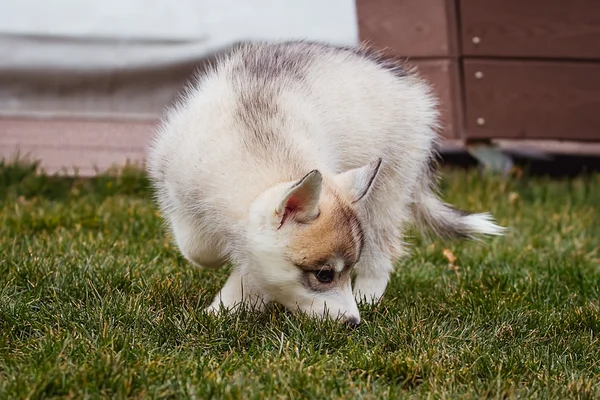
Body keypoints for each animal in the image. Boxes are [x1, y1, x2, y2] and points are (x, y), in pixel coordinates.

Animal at [146, 40, 506, 326]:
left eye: (338, 273)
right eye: (324, 275)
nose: (354, 323)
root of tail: (408, 86)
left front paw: (230, 302)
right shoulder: (173, 182)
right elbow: (196, 248)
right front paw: (226, 295)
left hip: (387, 192)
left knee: (383, 252)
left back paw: (369, 296)